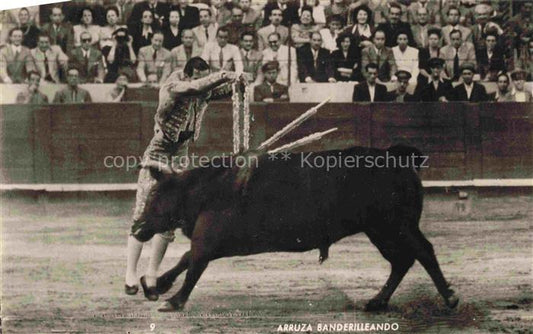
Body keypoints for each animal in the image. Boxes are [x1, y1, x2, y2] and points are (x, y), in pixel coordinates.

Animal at [140, 145, 458, 312]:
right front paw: (155, 285)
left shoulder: (208, 241)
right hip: (381, 231)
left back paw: (449, 297)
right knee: (402, 261)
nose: (136, 227)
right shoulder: (210, 241)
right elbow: (186, 260)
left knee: (422, 252)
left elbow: (193, 265)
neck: (203, 189)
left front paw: (173, 300)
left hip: (395, 226)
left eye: (155, 196)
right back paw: (377, 300)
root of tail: (397, 159)